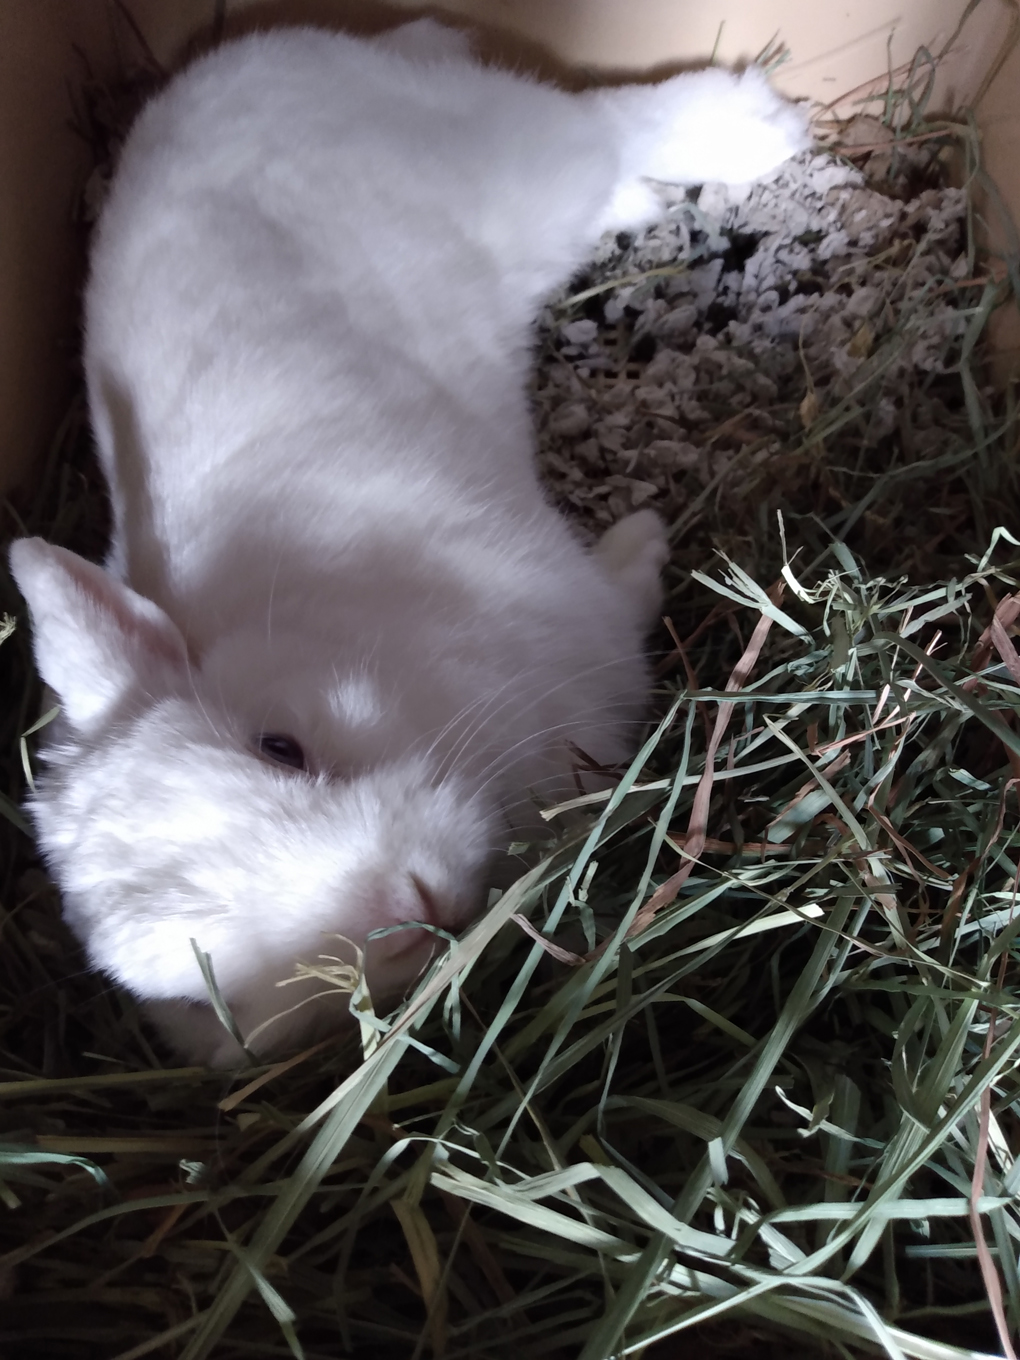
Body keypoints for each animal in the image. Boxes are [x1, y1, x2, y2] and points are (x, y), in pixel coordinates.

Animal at [5, 15, 805, 1066]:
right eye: (200, 989)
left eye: (281, 748)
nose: (411, 910)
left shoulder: (588, 630)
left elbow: (625, 589)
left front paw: (645, 537)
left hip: (512, 166)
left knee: (611, 122)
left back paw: (757, 129)